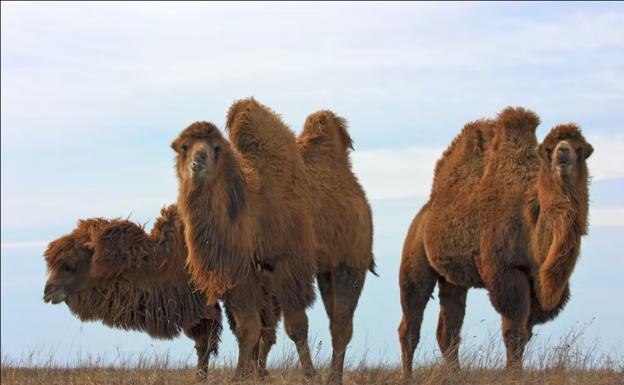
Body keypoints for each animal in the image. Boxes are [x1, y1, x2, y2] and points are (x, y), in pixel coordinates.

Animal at [171, 99, 316, 378]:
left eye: (216, 148)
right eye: (185, 146)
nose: (198, 159)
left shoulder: (286, 266)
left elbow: (293, 325)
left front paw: (310, 374)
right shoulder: (236, 279)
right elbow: (246, 328)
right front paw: (242, 374)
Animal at [398, 106, 592, 378]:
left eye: (581, 149)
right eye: (548, 148)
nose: (563, 153)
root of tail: (423, 214)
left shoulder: (534, 282)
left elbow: (526, 332)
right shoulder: (507, 273)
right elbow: (514, 332)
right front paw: (513, 375)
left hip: (452, 278)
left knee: (448, 326)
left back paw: (455, 374)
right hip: (415, 254)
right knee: (411, 318)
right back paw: (407, 375)